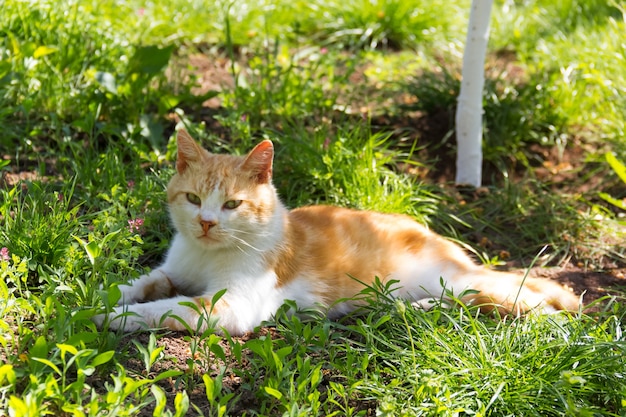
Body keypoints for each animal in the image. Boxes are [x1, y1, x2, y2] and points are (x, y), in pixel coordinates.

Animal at [94, 130, 580, 334]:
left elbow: (163, 309)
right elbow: (145, 283)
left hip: (462, 281)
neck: (207, 254)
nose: (207, 222)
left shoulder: (231, 306)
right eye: (194, 199)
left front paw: (114, 318)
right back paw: (411, 309)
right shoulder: (174, 271)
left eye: (232, 204)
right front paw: (96, 297)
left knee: (516, 300)